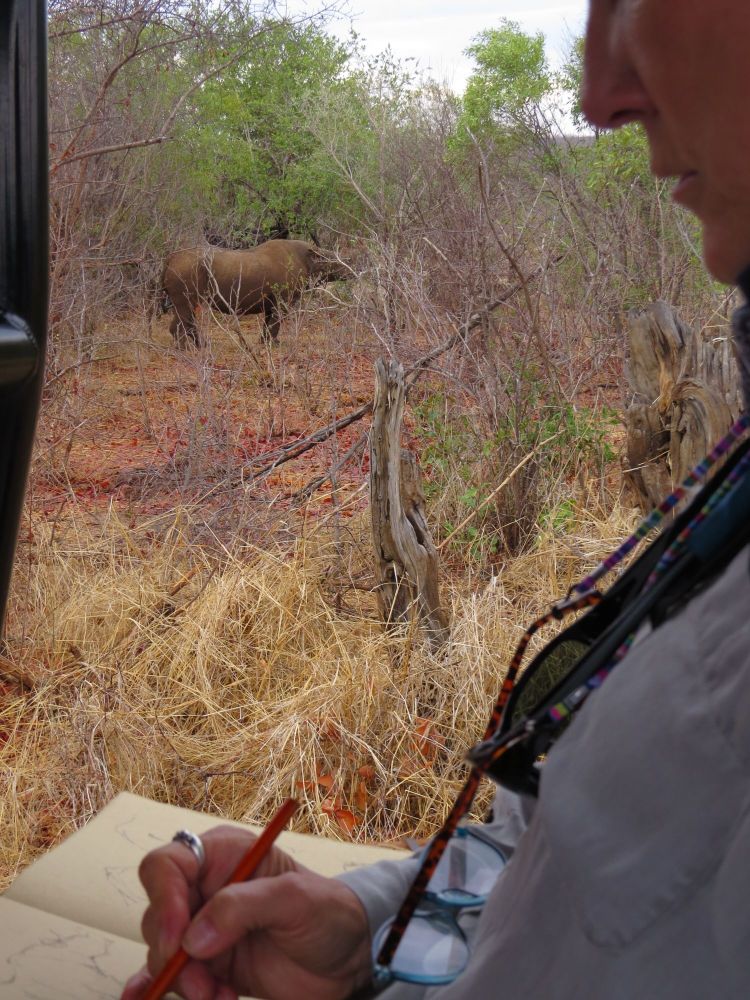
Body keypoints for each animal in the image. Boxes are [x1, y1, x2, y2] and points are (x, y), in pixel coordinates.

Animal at [160, 239, 351, 347]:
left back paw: (201, 346)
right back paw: (187, 349)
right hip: (187, 272)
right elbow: (275, 323)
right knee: (185, 312)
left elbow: (268, 323)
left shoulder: (271, 302)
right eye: (334, 263)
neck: (309, 258)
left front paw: (265, 342)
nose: (350, 269)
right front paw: (272, 345)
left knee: (186, 314)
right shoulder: (283, 301)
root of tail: (169, 259)